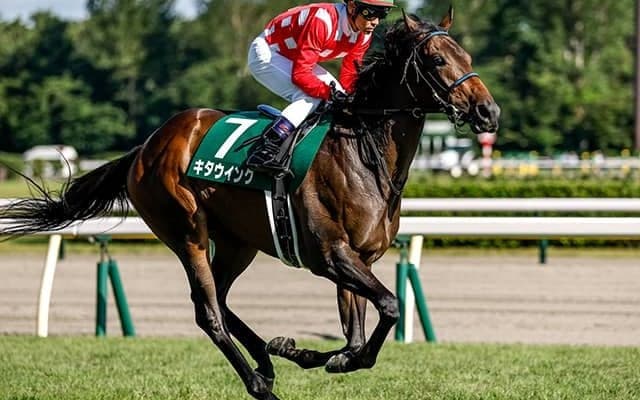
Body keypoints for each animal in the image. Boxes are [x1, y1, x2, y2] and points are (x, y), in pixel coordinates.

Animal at [0, 10, 499, 400]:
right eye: (438, 59)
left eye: (469, 59)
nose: (488, 112)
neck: (362, 151)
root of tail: (145, 147)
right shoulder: (331, 255)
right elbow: (389, 309)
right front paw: (316, 355)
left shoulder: (360, 257)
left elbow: (358, 342)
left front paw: (305, 351)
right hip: (187, 231)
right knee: (208, 312)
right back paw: (260, 383)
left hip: (238, 243)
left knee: (221, 300)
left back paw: (268, 356)